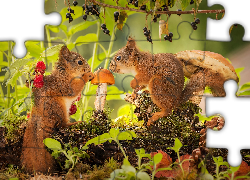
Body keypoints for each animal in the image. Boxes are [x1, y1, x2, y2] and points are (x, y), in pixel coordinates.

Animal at [21, 45, 94, 174]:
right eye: (79, 62)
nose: (89, 68)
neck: (65, 73)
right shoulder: (63, 85)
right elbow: (74, 89)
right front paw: (87, 76)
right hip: (57, 108)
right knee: (62, 125)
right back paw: (76, 123)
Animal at [109, 37, 238, 126]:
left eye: (118, 58)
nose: (110, 68)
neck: (138, 62)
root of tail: (177, 100)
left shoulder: (148, 70)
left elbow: (142, 79)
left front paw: (132, 84)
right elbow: (141, 85)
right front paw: (134, 93)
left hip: (157, 84)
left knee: (168, 109)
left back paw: (157, 115)